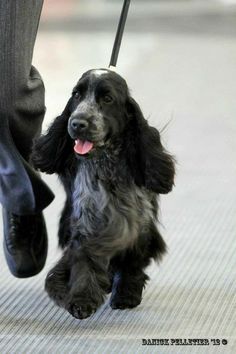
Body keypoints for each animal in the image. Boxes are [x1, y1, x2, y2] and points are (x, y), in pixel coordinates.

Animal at [31, 68, 175, 318]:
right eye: (76, 95)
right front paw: (81, 300)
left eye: (107, 99)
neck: (106, 165)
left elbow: (132, 262)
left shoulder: (139, 225)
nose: (77, 123)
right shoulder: (87, 224)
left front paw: (126, 295)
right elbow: (84, 261)